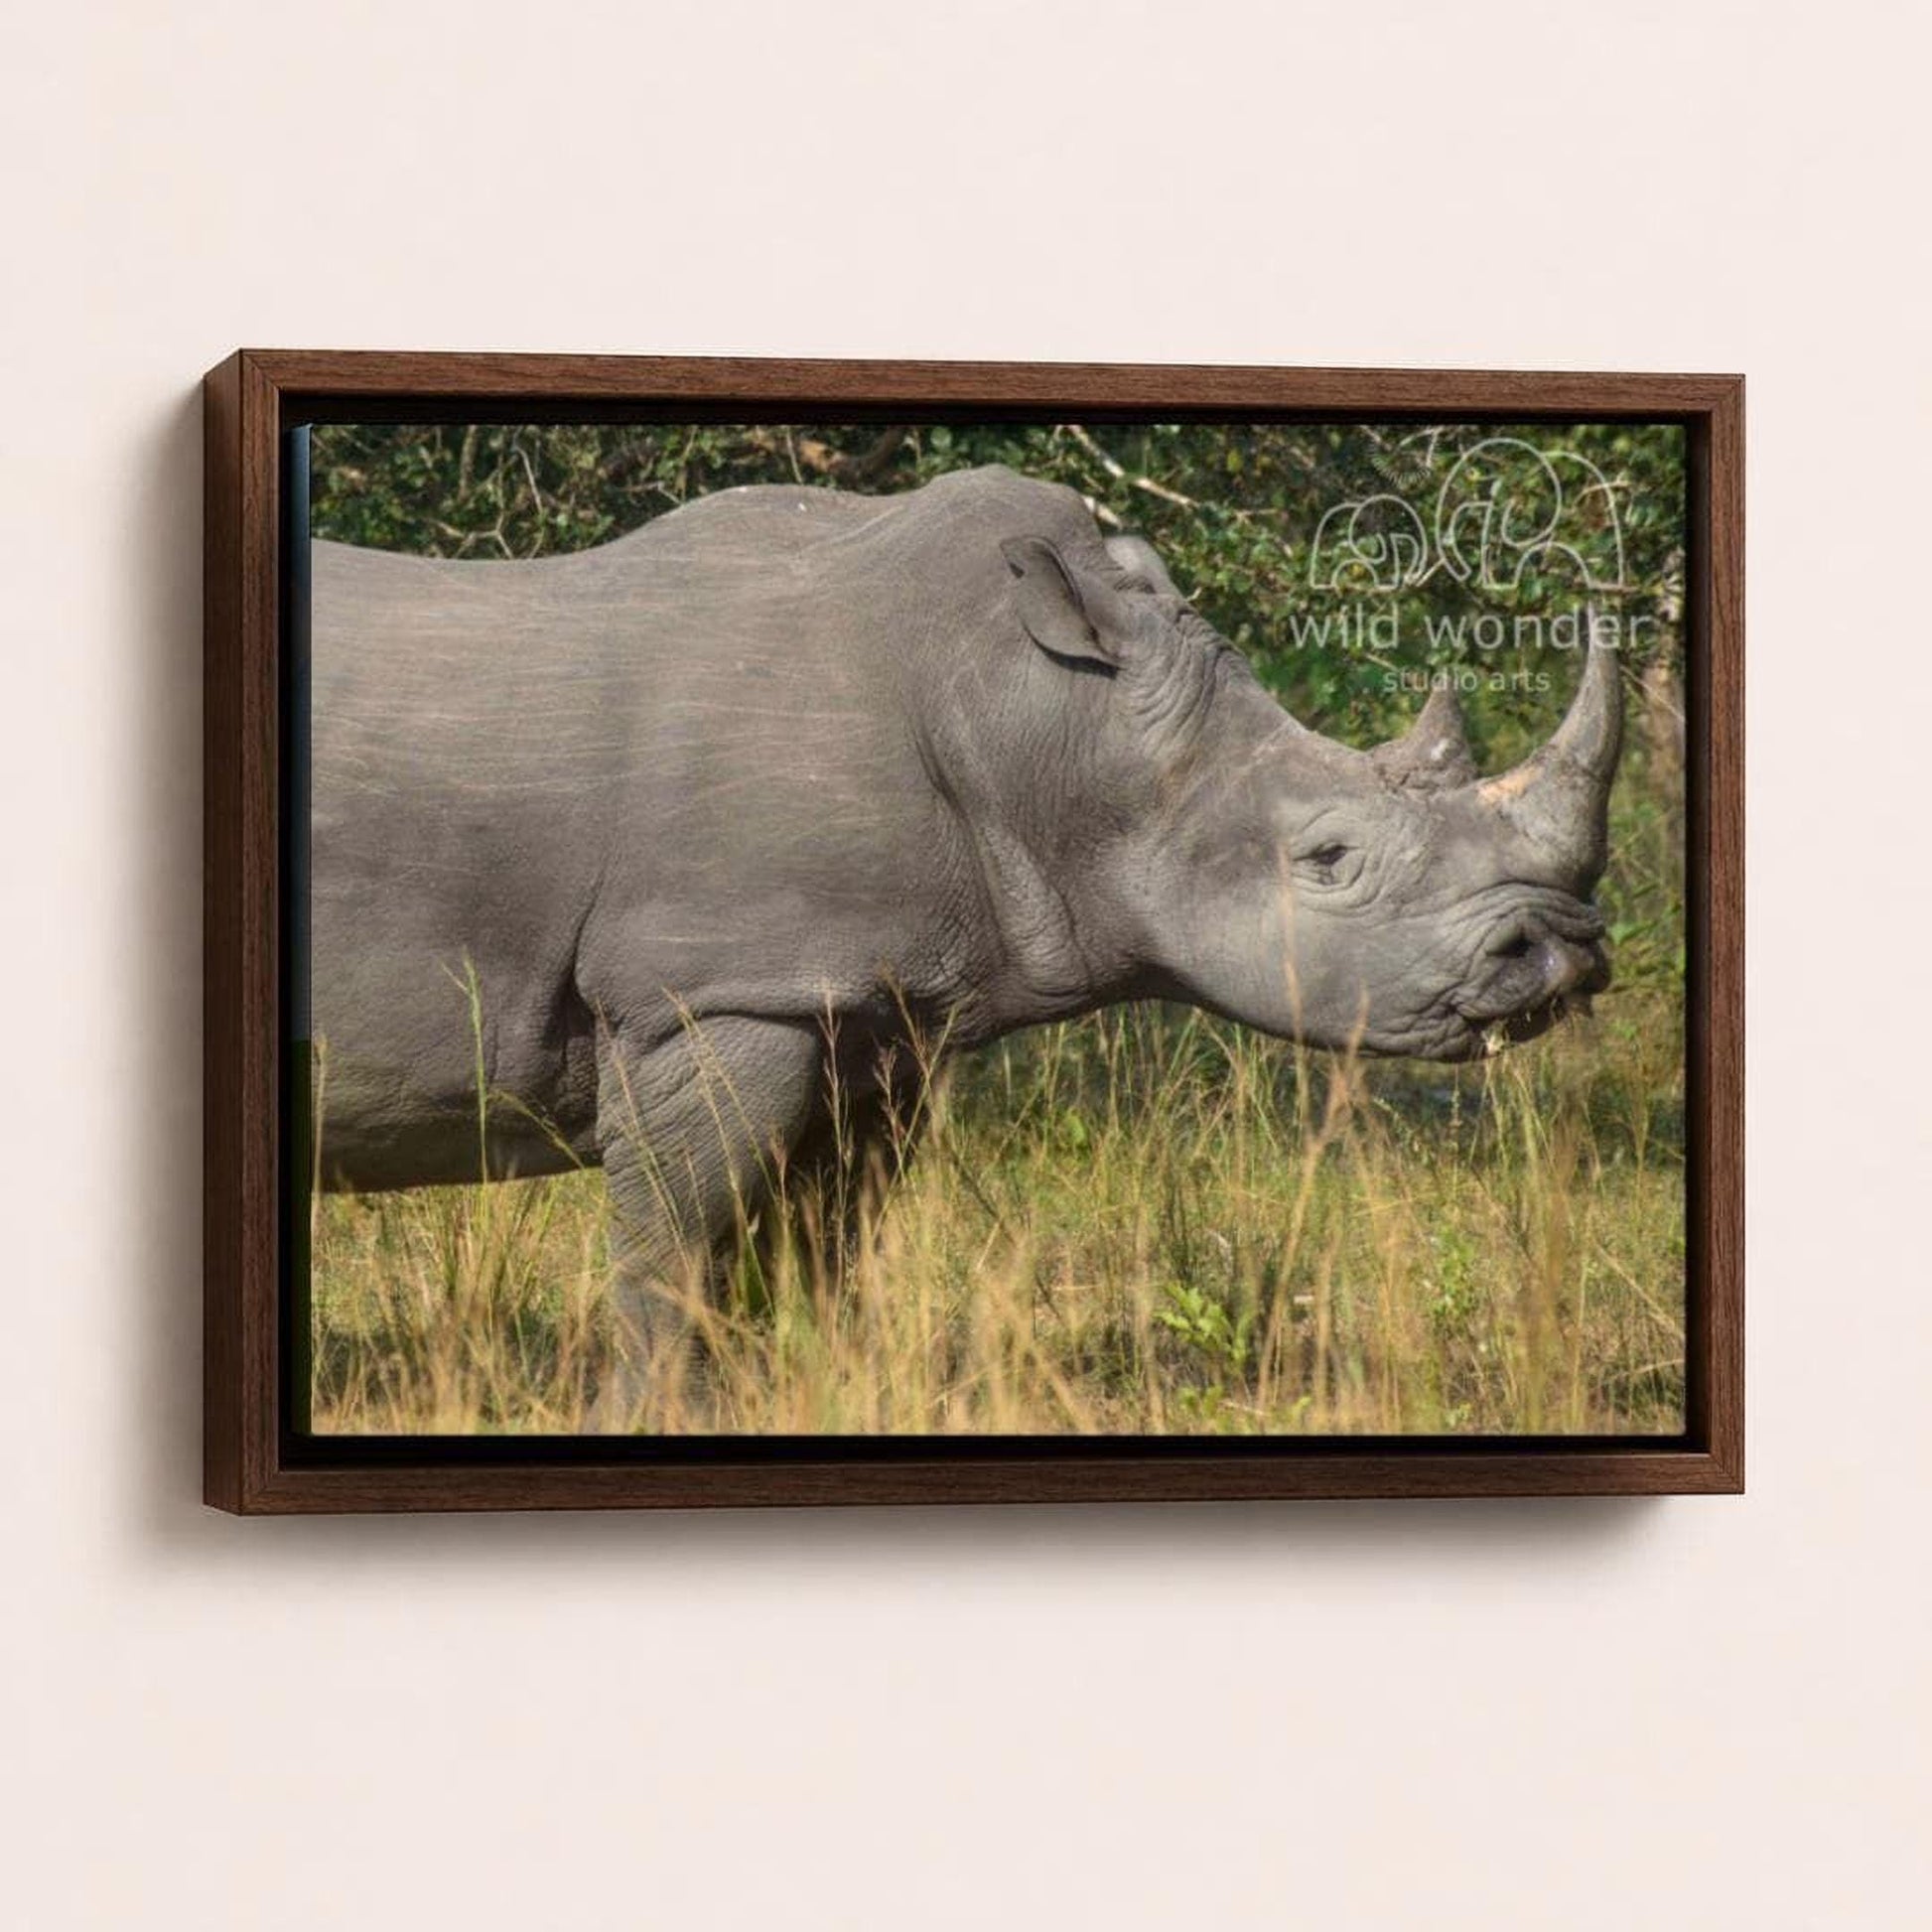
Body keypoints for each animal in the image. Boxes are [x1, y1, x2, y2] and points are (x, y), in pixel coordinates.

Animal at [311, 463, 1619, 1410]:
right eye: (1328, 857)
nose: (1559, 951)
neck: (1039, 714)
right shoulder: (718, 983)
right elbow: (673, 1244)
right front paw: (650, 1417)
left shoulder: (864, 1004)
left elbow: (812, 1241)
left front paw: (800, 1394)